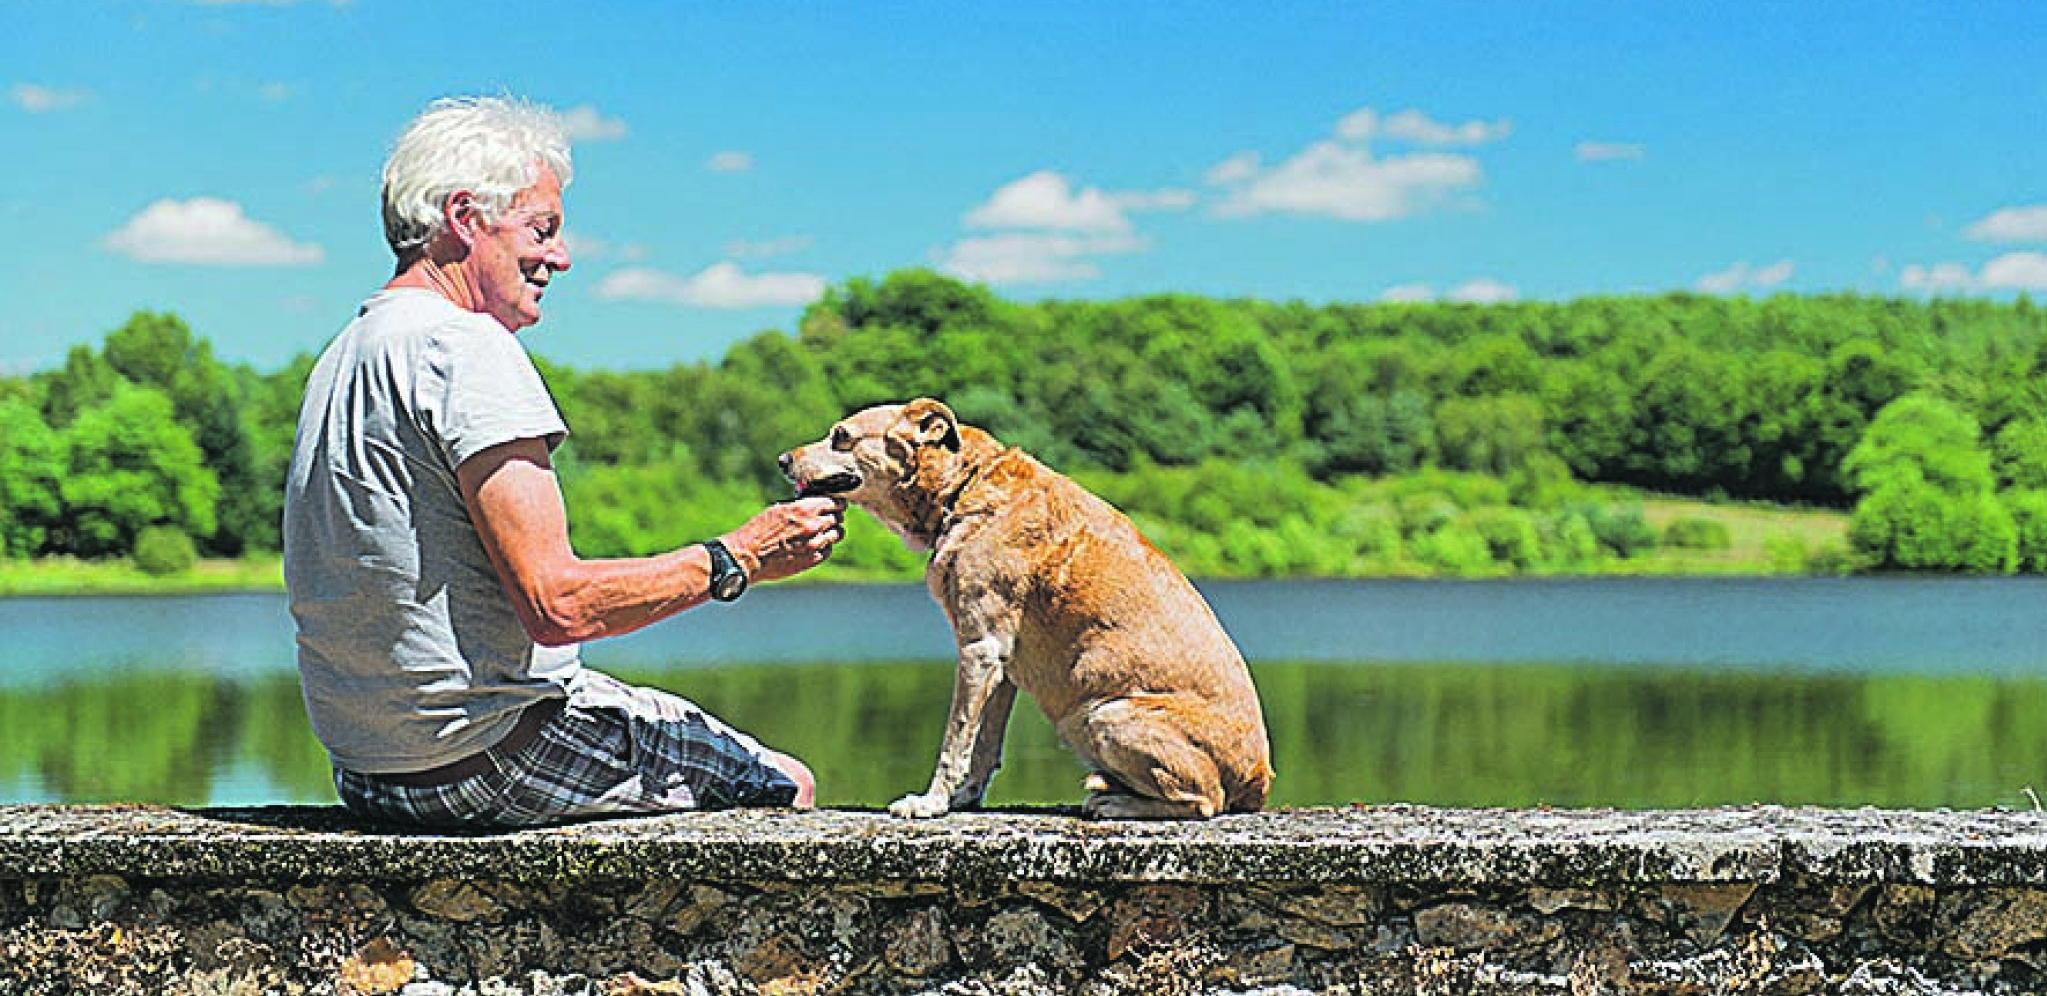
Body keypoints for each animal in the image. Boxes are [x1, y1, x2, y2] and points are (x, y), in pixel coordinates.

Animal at [777, 396, 1269, 818]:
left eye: (841, 435)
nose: (782, 459)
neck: (962, 487)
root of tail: (1257, 782)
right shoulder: (1003, 666)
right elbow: (984, 747)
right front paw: (964, 799)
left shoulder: (979, 649)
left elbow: (955, 741)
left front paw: (929, 804)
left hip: (1104, 715)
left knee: (1205, 801)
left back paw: (1118, 803)